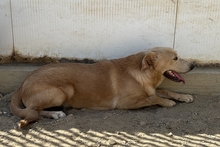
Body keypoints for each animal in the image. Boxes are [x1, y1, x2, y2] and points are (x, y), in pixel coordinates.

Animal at [9, 47, 194, 127]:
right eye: (175, 58)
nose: (193, 65)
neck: (144, 74)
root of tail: (24, 81)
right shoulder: (125, 103)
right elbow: (154, 97)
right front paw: (167, 102)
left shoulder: (151, 89)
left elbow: (164, 91)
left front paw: (183, 96)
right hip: (62, 92)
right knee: (32, 110)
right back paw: (55, 113)